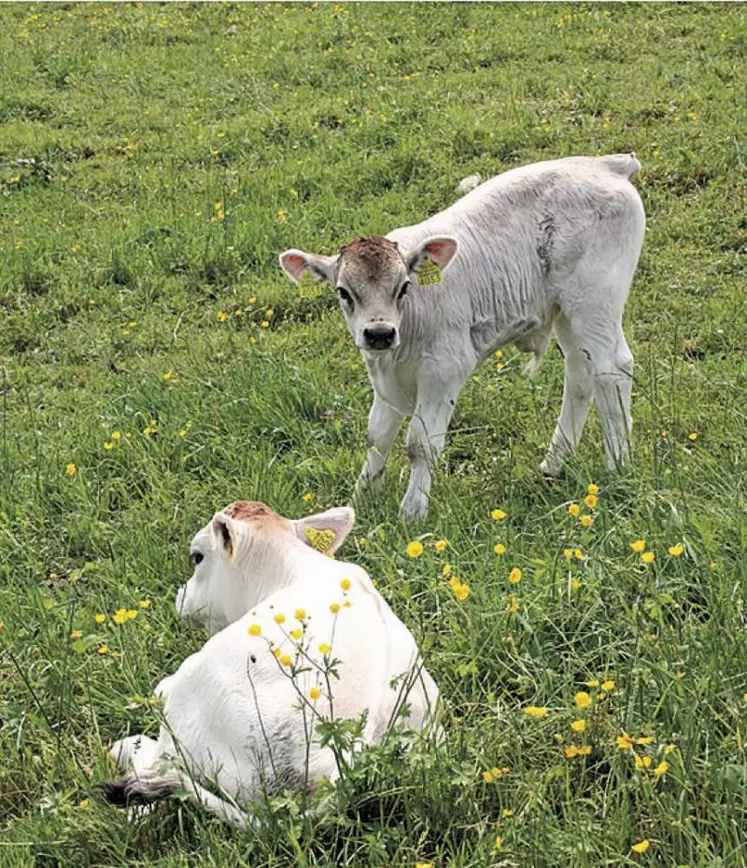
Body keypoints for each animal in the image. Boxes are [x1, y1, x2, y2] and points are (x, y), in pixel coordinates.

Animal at [278, 154, 644, 524]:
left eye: (403, 287)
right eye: (343, 292)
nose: (379, 333)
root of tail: (603, 163)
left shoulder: (443, 370)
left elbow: (419, 445)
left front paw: (412, 514)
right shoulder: (383, 378)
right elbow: (376, 438)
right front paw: (360, 501)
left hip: (596, 302)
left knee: (611, 370)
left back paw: (617, 464)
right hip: (566, 312)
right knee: (580, 373)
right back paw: (553, 464)